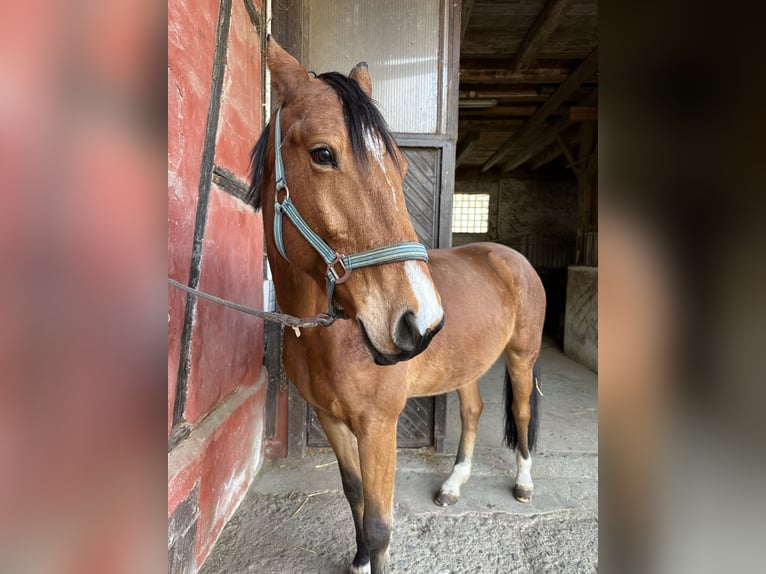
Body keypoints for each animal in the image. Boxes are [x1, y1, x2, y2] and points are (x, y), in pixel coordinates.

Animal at [246, 37, 544, 574]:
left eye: (400, 167)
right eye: (323, 154)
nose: (418, 321)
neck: (332, 336)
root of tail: (509, 256)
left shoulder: (379, 427)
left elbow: (381, 524)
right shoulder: (331, 419)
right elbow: (354, 495)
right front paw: (359, 560)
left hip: (521, 358)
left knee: (523, 412)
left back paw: (524, 483)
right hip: (468, 366)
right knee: (473, 411)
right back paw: (452, 485)